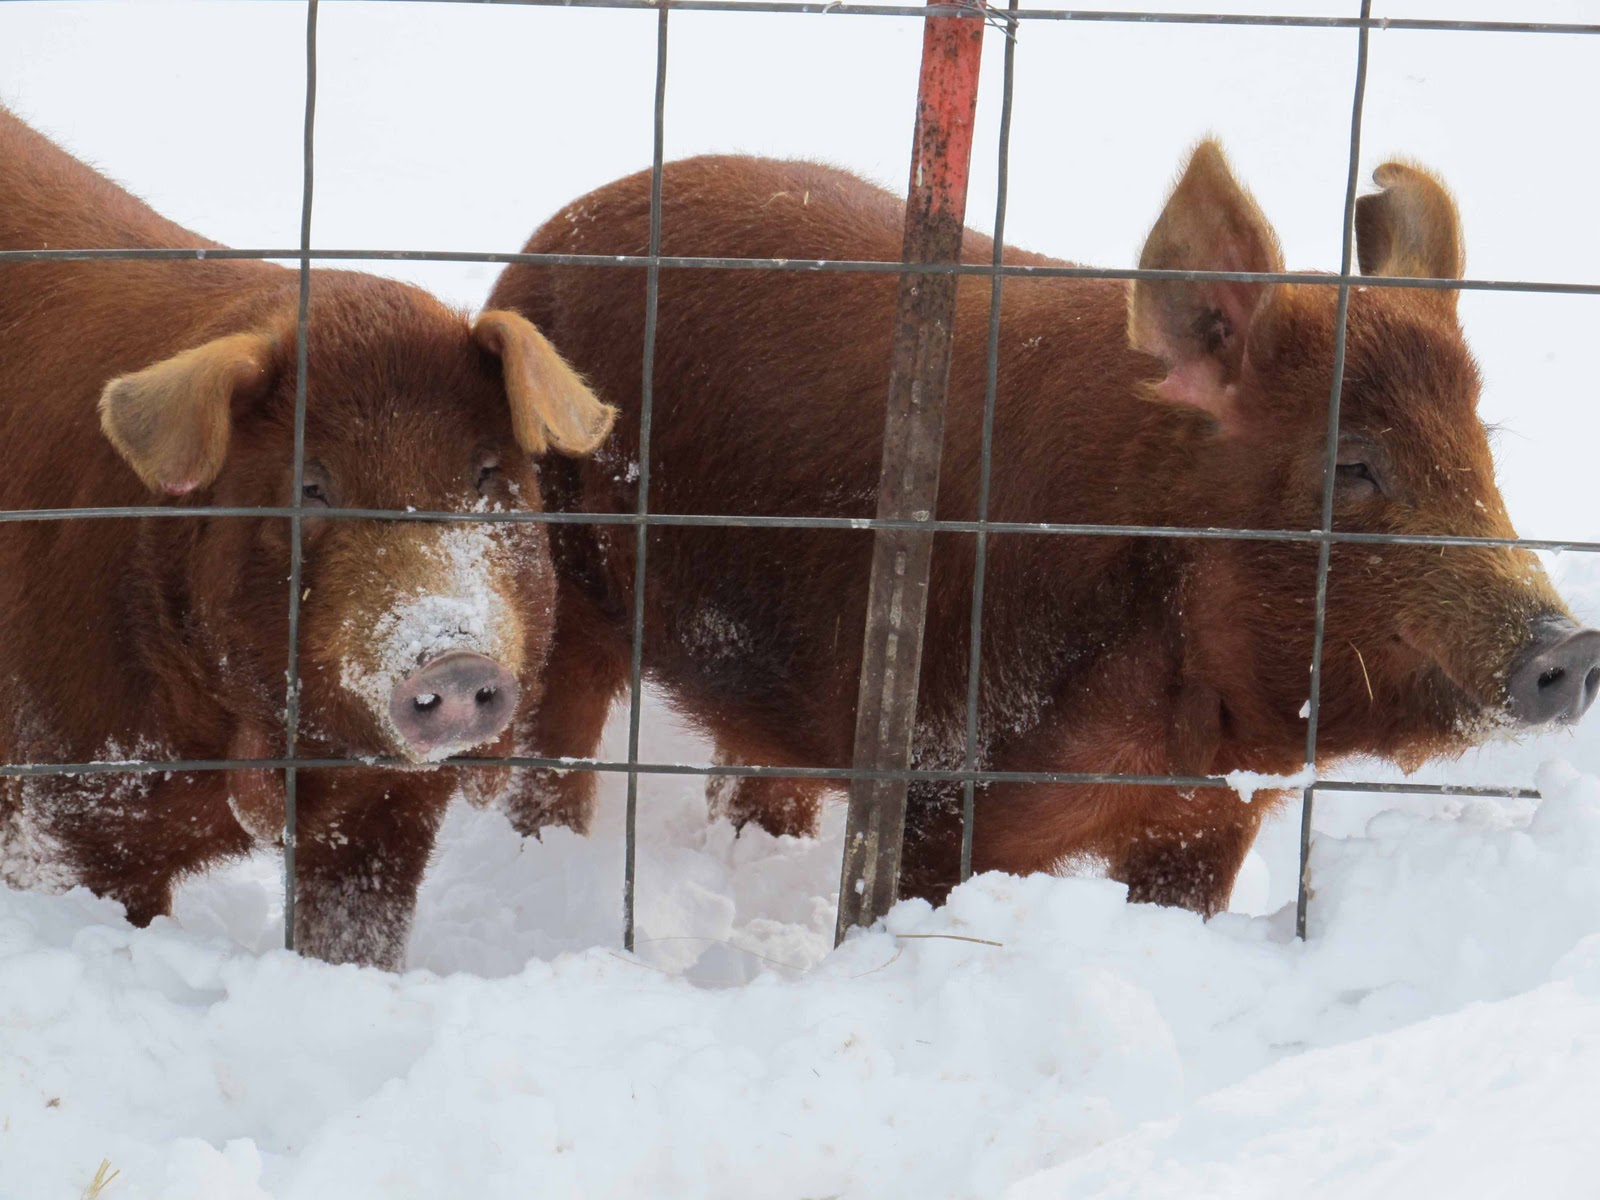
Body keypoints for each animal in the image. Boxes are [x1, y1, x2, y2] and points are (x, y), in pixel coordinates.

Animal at [483, 143, 1600, 916]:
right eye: (1353, 463)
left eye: (1481, 449)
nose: (1573, 643)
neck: (1185, 735)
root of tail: (546, 238)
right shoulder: (939, 774)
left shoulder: (1210, 823)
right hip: (553, 588)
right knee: (547, 751)